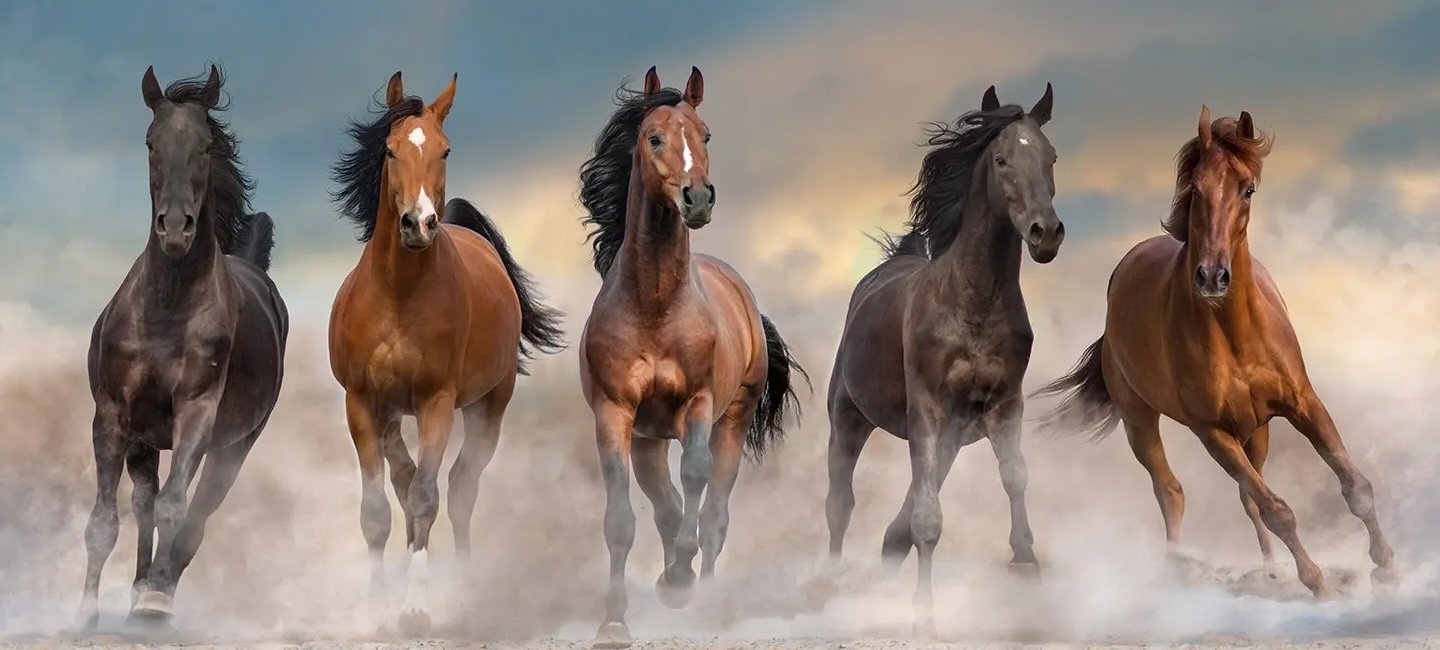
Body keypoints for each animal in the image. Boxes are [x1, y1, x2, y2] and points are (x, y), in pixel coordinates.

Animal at [78, 64, 288, 627]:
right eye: (151, 143)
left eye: (206, 146)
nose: (175, 227)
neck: (167, 309)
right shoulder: (113, 415)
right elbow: (104, 520)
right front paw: (86, 613)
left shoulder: (197, 412)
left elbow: (176, 507)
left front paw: (151, 604)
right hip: (146, 439)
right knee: (143, 501)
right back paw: (137, 588)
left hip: (236, 445)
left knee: (196, 513)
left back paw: (156, 593)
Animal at [328, 71, 564, 633]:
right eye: (390, 149)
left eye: (446, 149)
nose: (419, 223)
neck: (398, 293)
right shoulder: (361, 404)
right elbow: (377, 508)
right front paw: (377, 605)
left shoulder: (437, 402)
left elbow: (426, 497)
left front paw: (416, 606)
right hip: (393, 413)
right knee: (404, 477)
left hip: (487, 408)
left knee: (458, 489)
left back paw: (461, 588)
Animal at [576, 66, 807, 648]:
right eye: (654, 137)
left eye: (705, 135)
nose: (697, 198)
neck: (656, 304)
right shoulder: (616, 415)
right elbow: (623, 518)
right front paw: (614, 621)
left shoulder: (698, 404)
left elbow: (697, 480)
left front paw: (679, 581)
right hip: (649, 440)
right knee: (666, 507)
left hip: (733, 417)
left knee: (714, 514)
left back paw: (699, 598)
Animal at [825, 84, 1062, 637]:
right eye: (1001, 159)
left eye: (1051, 158)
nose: (1046, 234)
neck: (971, 302)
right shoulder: (928, 408)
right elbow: (928, 520)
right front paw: (925, 616)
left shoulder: (1003, 403)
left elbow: (1014, 474)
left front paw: (1025, 562)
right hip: (849, 417)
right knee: (840, 503)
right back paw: (832, 587)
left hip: (953, 430)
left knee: (909, 501)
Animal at [1035, 107, 1394, 597]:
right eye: (1197, 188)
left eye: (1248, 188)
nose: (1211, 276)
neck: (1235, 333)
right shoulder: (1214, 433)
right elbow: (1279, 509)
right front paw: (1317, 582)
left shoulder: (1303, 404)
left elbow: (1354, 485)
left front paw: (1386, 565)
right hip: (1140, 422)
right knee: (1171, 491)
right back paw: (1177, 566)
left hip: (1257, 431)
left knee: (1246, 497)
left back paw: (1271, 569)